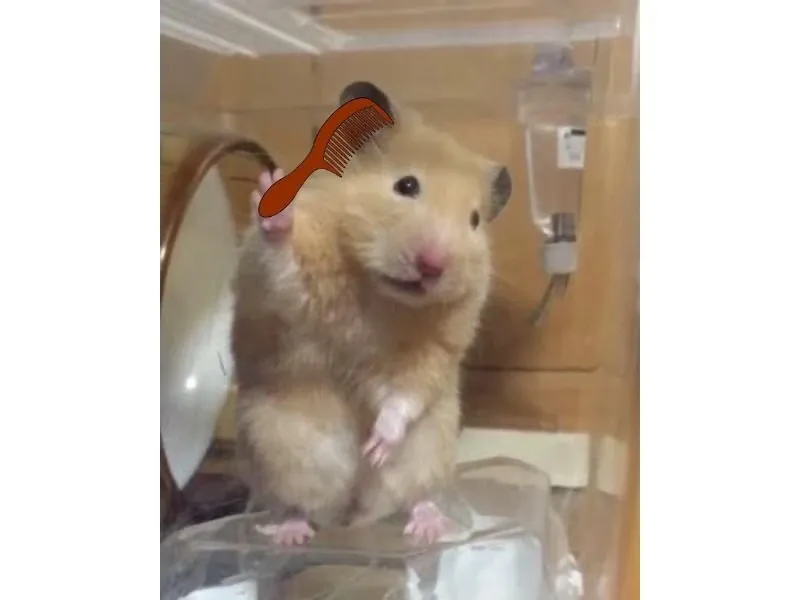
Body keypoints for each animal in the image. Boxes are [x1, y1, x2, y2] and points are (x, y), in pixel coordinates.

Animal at [231, 81, 512, 546]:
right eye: (407, 184)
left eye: (474, 220)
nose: (433, 266)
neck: (377, 290)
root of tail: (355, 509)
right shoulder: (286, 296)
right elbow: (284, 266)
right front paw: (271, 200)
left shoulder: (433, 351)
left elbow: (403, 396)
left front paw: (377, 446)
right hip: (284, 451)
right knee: (300, 504)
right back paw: (292, 533)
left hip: (428, 450)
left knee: (413, 495)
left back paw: (427, 524)